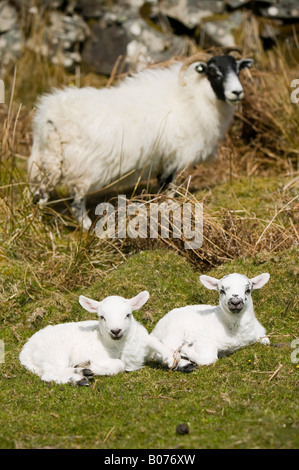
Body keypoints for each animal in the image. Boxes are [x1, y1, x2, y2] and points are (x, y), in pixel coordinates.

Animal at [19, 290, 196, 386]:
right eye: (101, 317)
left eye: (128, 314)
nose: (115, 331)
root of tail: (24, 353)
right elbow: (118, 365)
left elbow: (158, 344)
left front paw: (181, 362)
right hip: (55, 353)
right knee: (49, 373)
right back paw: (79, 376)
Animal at [27, 51, 253, 229]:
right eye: (214, 72)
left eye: (238, 70)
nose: (237, 92)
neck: (193, 96)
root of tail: (49, 116)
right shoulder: (175, 157)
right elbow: (169, 188)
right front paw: (169, 209)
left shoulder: (165, 158)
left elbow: (162, 188)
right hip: (81, 166)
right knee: (76, 199)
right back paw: (85, 226)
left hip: (47, 160)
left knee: (41, 192)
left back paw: (36, 220)